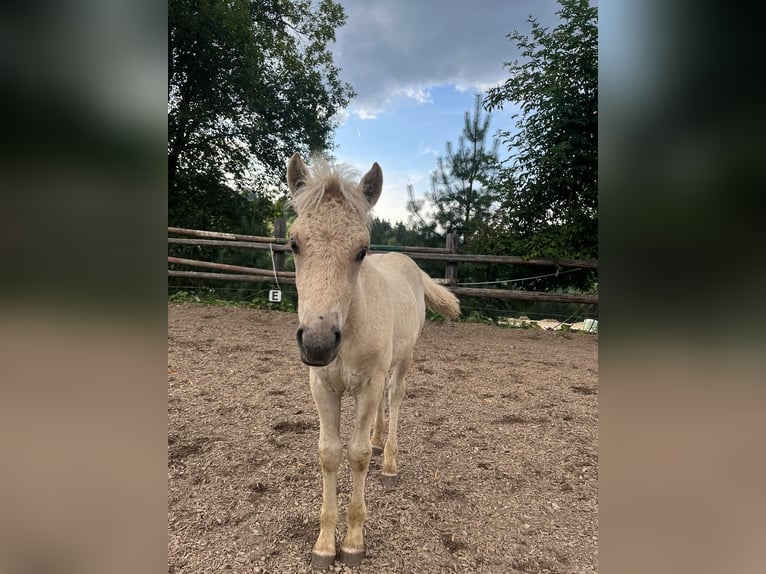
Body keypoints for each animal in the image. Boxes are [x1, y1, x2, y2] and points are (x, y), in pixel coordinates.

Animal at [284, 154, 460, 572]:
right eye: (294, 243)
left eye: (362, 250)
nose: (317, 343)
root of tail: (408, 263)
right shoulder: (323, 387)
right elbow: (330, 453)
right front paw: (323, 545)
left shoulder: (368, 384)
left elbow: (358, 454)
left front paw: (352, 543)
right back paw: (380, 441)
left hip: (403, 360)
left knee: (394, 398)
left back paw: (390, 461)